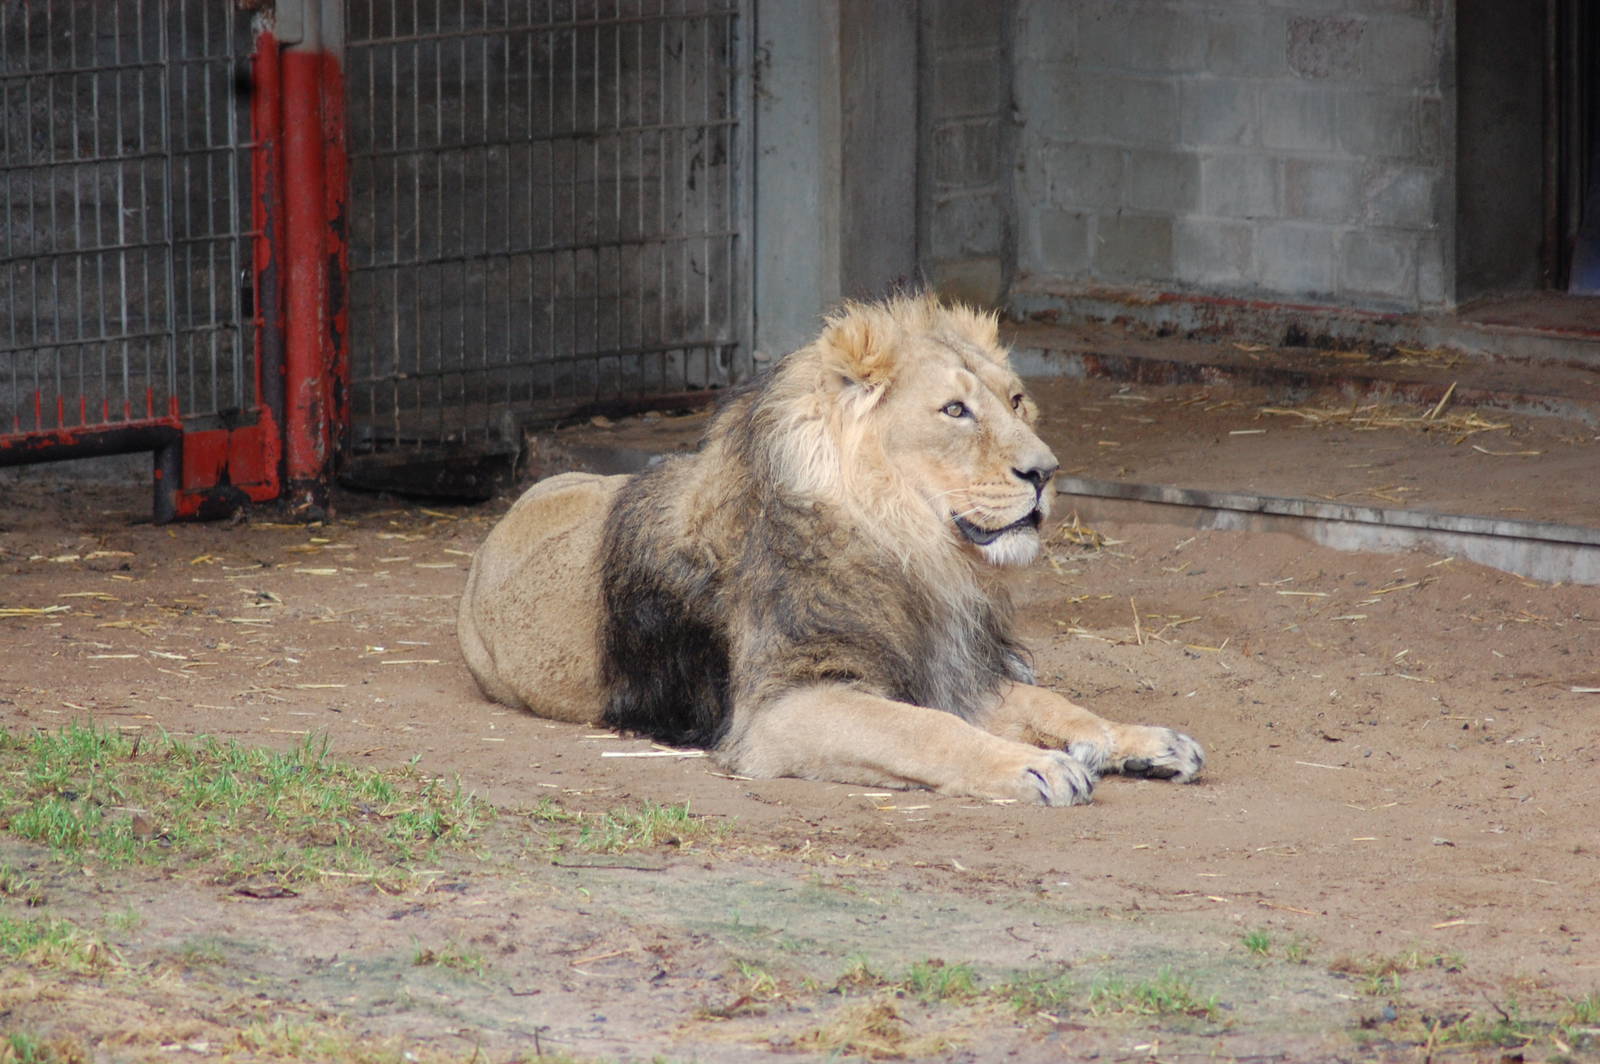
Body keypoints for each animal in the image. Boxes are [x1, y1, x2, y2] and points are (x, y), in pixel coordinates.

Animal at [458, 295, 1203, 805]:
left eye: (1017, 401)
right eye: (954, 411)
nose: (1045, 472)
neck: (913, 551)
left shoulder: (944, 667)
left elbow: (1051, 703)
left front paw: (1140, 741)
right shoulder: (784, 709)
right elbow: (926, 731)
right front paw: (1037, 766)